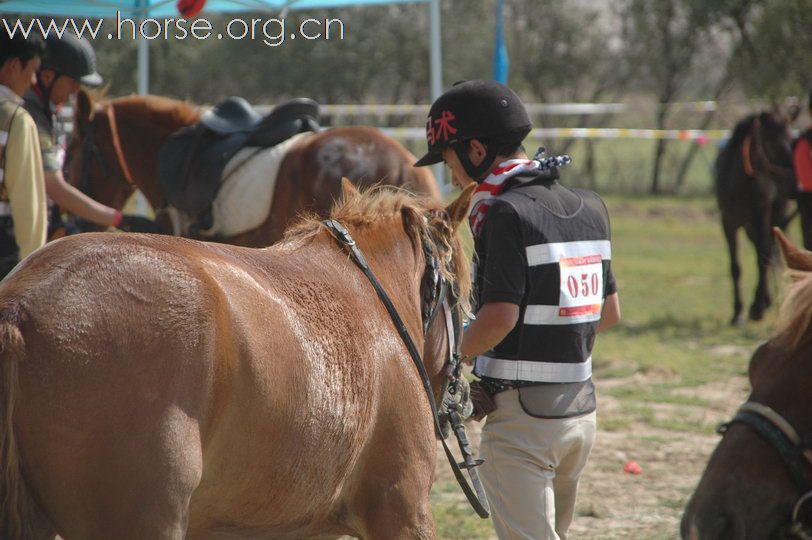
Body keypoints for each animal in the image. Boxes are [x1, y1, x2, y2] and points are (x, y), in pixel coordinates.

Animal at [712, 108, 796, 324]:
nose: (793, 180)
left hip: (773, 214)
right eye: (772, 142)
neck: (738, 183)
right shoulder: (727, 222)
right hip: (749, 226)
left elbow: (763, 256)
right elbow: (735, 266)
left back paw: (764, 302)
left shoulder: (761, 214)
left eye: (792, 138)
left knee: (768, 252)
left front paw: (756, 308)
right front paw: (737, 312)